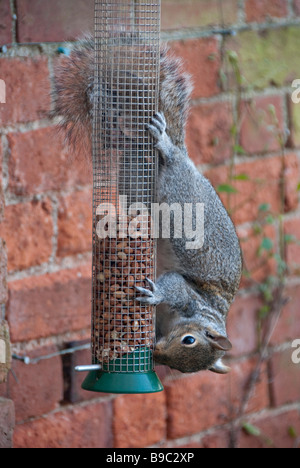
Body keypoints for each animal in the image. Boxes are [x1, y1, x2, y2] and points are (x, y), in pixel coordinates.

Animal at [52, 36, 243, 374]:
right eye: (189, 340)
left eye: (181, 368)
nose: (157, 354)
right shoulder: (189, 295)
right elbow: (173, 285)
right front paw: (155, 294)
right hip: (179, 189)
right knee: (170, 158)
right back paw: (160, 140)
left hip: (137, 174)